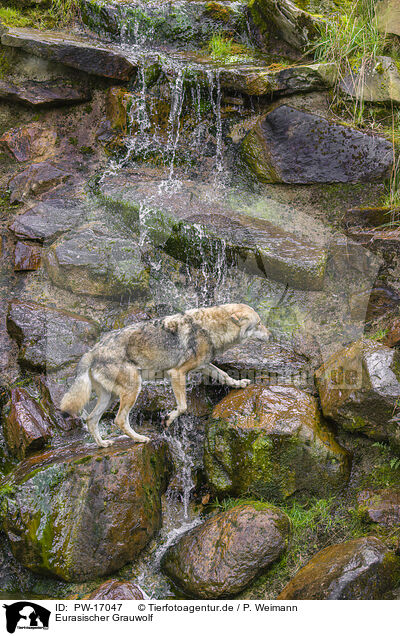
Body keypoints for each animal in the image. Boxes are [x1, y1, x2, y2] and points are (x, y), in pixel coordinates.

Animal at [61, 304, 270, 448]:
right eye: (259, 323)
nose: (271, 335)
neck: (211, 327)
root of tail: (92, 351)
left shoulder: (203, 366)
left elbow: (224, 375)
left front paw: (239, 383)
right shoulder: (177, 373)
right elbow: (183, 407)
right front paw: (168, 419)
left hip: (109, 397)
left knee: (91, 420)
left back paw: (103, 444)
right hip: (133, 390)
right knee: (119, 420)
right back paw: (140, 439)